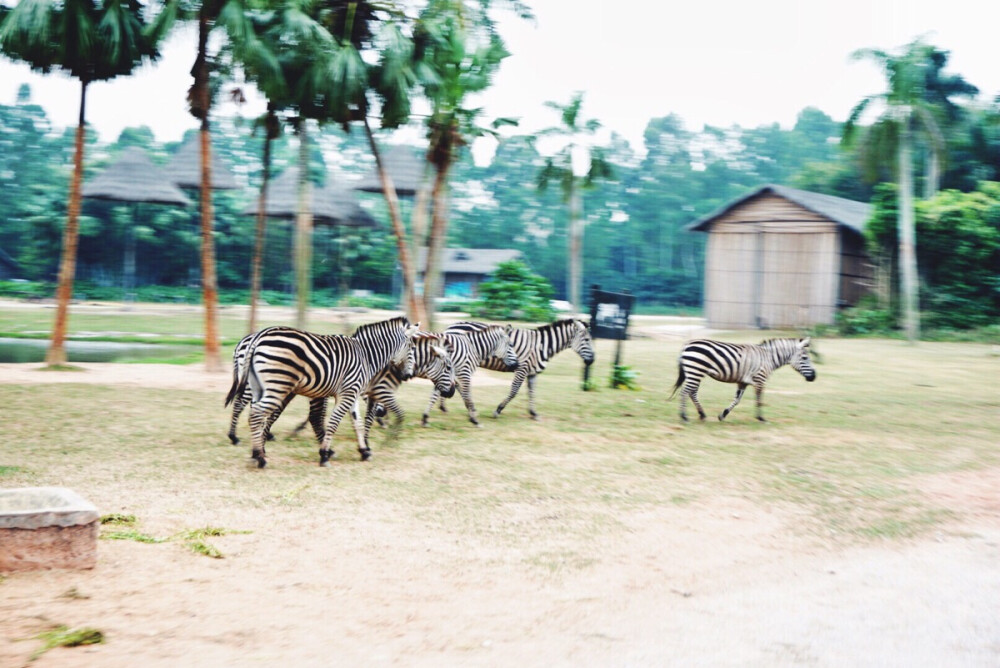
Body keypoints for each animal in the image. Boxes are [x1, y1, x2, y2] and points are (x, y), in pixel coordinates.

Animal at [226, 316, 418, 468]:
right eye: (411, 348)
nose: (407, 375)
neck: (366, 356)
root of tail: (257, 336)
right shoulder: (346, 393)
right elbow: (332, 422)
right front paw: (324, 454)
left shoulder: (352, 393)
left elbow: (357, 423)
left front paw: (364, 451)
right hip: (275, 385)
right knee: (254, 413)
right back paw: (257, 455)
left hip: (261, 386)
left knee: (253, 412)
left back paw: (255, 452)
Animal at [446, 318, 592, 420]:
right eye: (586, 340)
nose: (592, 360)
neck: (542, 346)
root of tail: (450, 327)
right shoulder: (522, 369)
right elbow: (514, 391)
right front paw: (497, 410)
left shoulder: (532, 373)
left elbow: (532, 392)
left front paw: (533, 413)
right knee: (456, 383)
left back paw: (447, 406)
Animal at [668, 336, 816, 420]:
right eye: (805, 358)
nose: (814, 377)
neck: (768, 358)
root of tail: (686, 345)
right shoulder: (760, 379)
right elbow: (759, 399)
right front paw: (760, 417)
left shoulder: (742, 382)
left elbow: (737, 400)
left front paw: (723, 415)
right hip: (695, 371)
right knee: (685, 392)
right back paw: (684, 416)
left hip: (695, 373)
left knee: (692, 392)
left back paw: (702, 414)